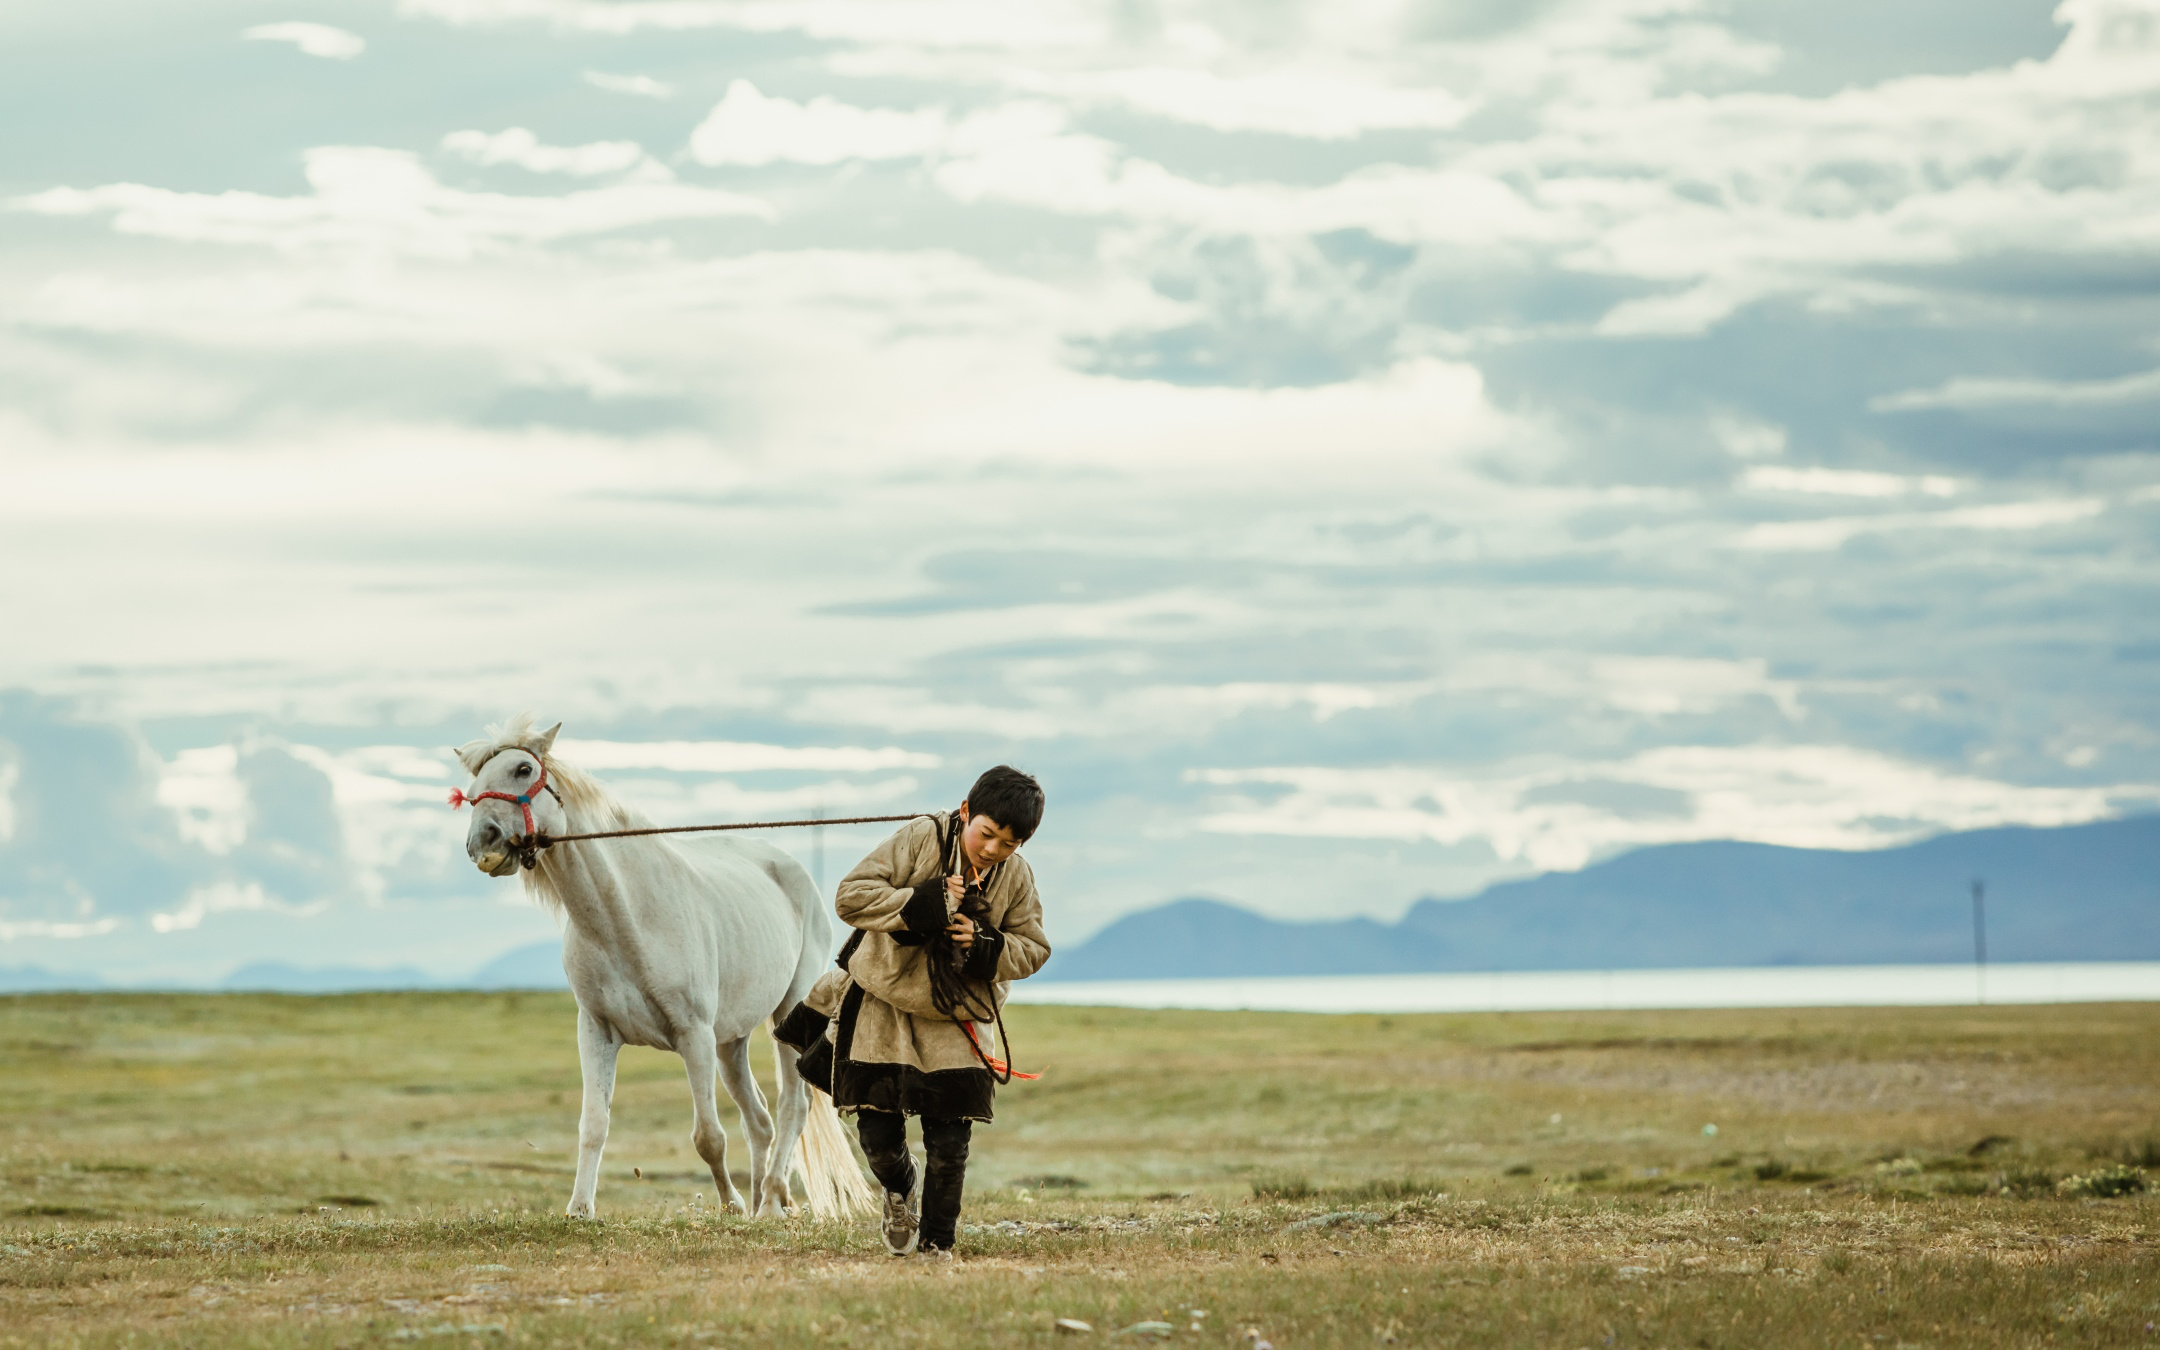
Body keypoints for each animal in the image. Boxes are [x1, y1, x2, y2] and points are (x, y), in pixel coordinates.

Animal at [455, 717, 868, 1218]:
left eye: (522, 769)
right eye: (472, 786)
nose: (484, 842)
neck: (626, 918)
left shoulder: (694, 1035)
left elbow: (708, 1136)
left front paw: (729, 1206)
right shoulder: (596, 1032)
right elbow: (594, 1125)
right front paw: (580, 1209)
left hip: (785, 1014)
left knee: (794, 1105)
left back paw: (769, 1200)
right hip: (731, 1042)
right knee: (760, 1119)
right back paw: (763, 1204)